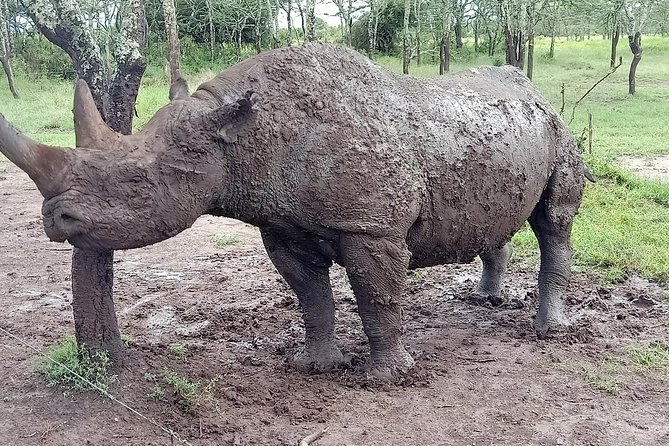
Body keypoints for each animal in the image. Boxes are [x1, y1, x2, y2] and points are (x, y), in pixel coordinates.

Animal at [0, 43, 584, 378]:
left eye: (138, 181)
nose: (55, 220)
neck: (237, 138)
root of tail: (533, 89)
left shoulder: (371, 227)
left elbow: (377, 299)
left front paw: (388, 377)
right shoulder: (280, 225)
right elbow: (312, 297)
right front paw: (315, 366)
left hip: (558, 130)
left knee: (554, 223)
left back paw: (548, 331)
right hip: (500, 134)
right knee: (500, 220)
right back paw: (485, 300)